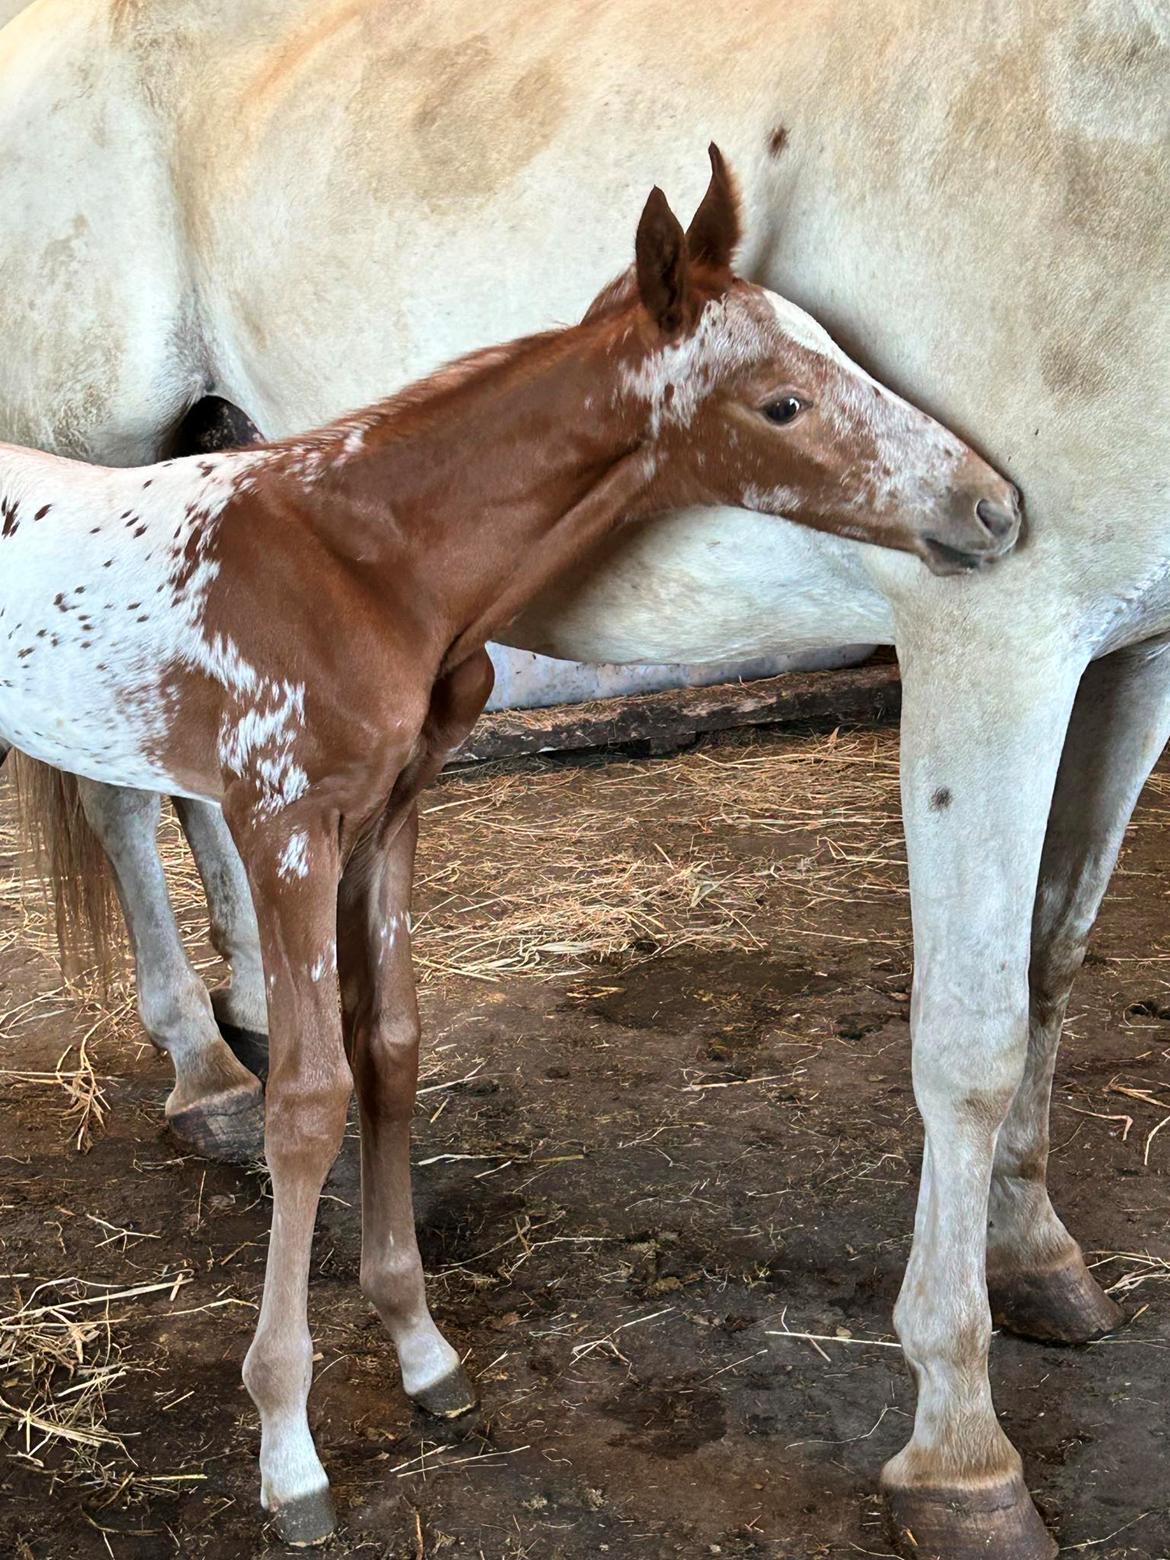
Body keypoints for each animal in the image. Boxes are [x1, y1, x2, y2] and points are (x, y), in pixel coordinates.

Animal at [0, 152, 1023, 1541]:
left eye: (838, 344)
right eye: (784, 400)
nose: (995, 507)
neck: (361, 560)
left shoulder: (387, 816)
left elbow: (389, 1049)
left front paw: (422, 1348)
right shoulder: (287, 825)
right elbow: (307, 1101)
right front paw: (287, 1448)